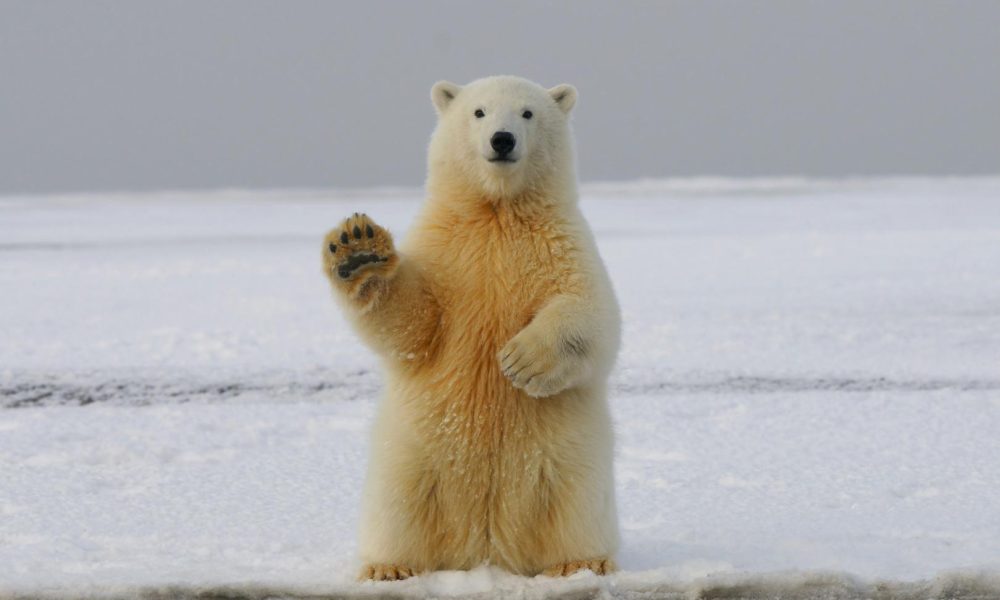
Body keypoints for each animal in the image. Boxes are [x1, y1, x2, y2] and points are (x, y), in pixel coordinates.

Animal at [321, 75, 621, 580]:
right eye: (478, 112)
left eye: (527, 113)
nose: (502, 140)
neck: (497, 212)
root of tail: (486, 548)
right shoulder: (446, 251)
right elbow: (414, 324)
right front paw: (358, 250)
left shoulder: (562, 244)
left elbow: (591, 313)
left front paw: (521, 361)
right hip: (412, 455)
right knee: (398, 506)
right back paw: (388, 567)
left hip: (569, 459)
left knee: (576, 505)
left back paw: (582, 562)